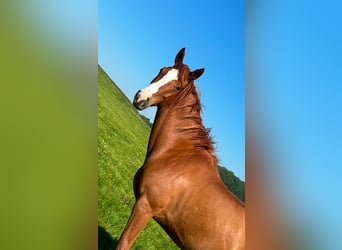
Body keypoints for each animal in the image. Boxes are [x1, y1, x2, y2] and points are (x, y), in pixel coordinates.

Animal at [116, 47, 244, 249]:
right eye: (162, 70)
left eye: (177, 87)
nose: (141, 97)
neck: (175, 156)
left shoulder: (145, 207)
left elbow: (123, 243)